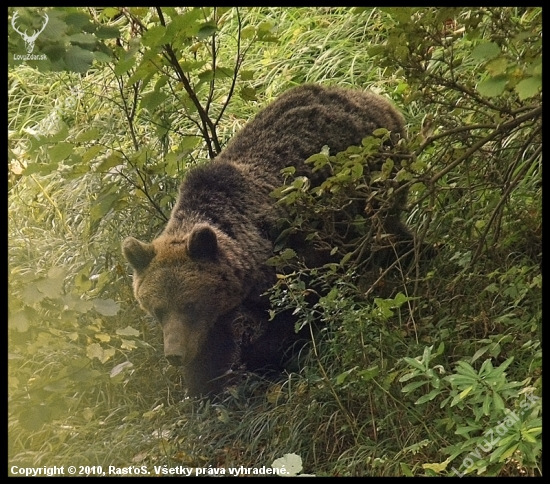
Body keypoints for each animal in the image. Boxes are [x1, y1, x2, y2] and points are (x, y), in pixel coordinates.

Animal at [125, 84, 410, 398]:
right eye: (158, 310)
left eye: (189, 304)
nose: (174, 354)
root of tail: (367, 96)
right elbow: (211, 345)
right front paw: (204, 385)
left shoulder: (289, 252)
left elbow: (296, 311)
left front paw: (263, 361)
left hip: (369, 175)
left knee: (380, 233)